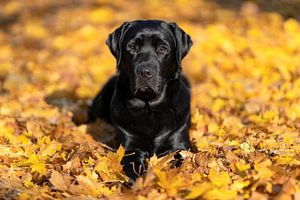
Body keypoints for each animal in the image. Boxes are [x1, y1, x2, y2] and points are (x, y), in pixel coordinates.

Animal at [88, 19, 193, 180]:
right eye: (132, 47)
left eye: (163, 48)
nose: (145, 72)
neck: (149, 108)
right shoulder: (130, 146)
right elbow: (133, 166)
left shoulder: (179, 144)